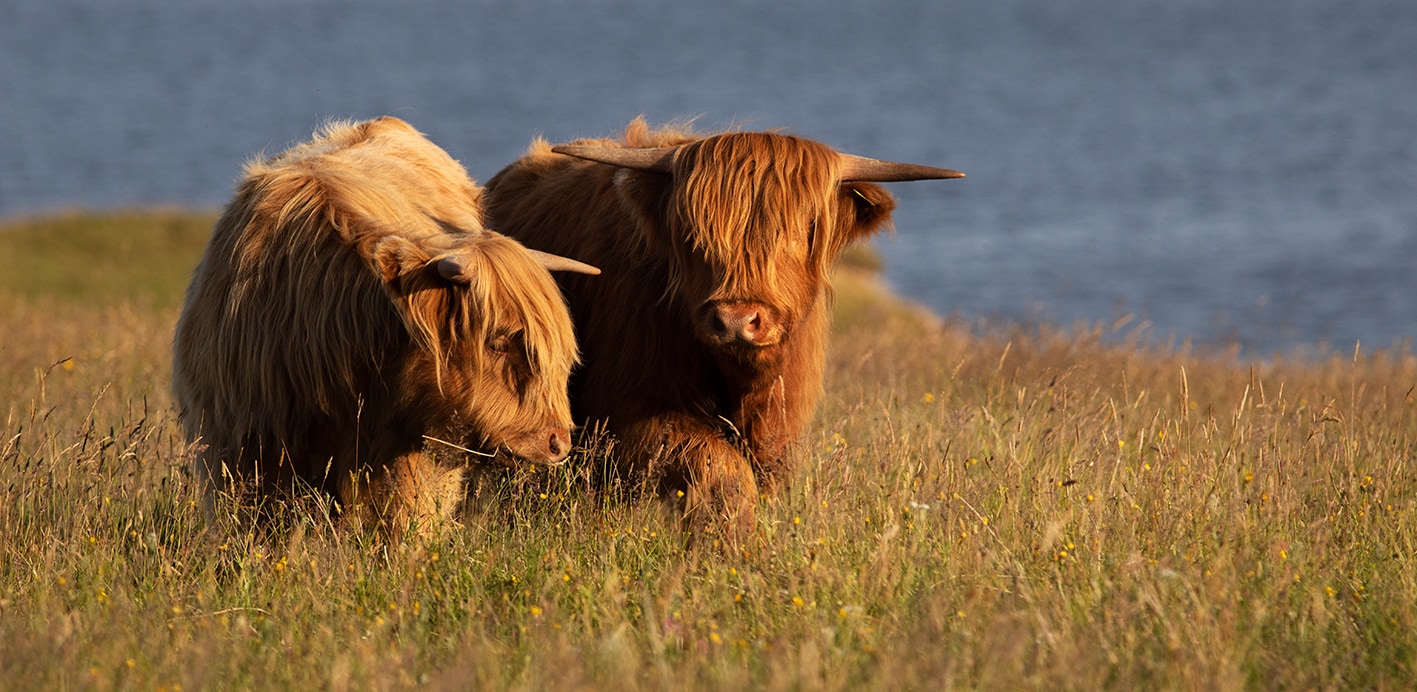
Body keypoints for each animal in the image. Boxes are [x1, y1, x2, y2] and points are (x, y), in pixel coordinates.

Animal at [487, 119, 963, 536]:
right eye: (692, 233)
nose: (737, 320)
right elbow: (720, 466)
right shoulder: (624, 416)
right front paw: (735, 545)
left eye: (804, 230)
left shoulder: (779, 427)